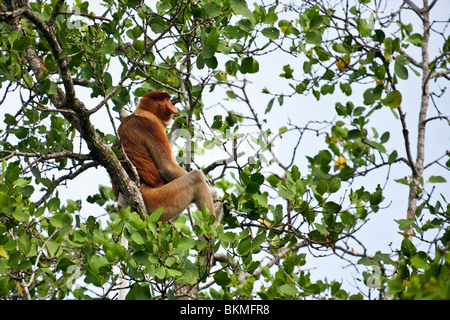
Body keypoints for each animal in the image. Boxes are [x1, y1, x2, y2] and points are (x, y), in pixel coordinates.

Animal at [110, 90, 220, 222]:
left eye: (168, 99)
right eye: (162, 100)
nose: (172, 107)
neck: (141, 112)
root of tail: (122, 204)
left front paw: (179, 122)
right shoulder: (150, 126)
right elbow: (166, 167)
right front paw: (213, 192)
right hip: (156, 201)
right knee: (195, 178)